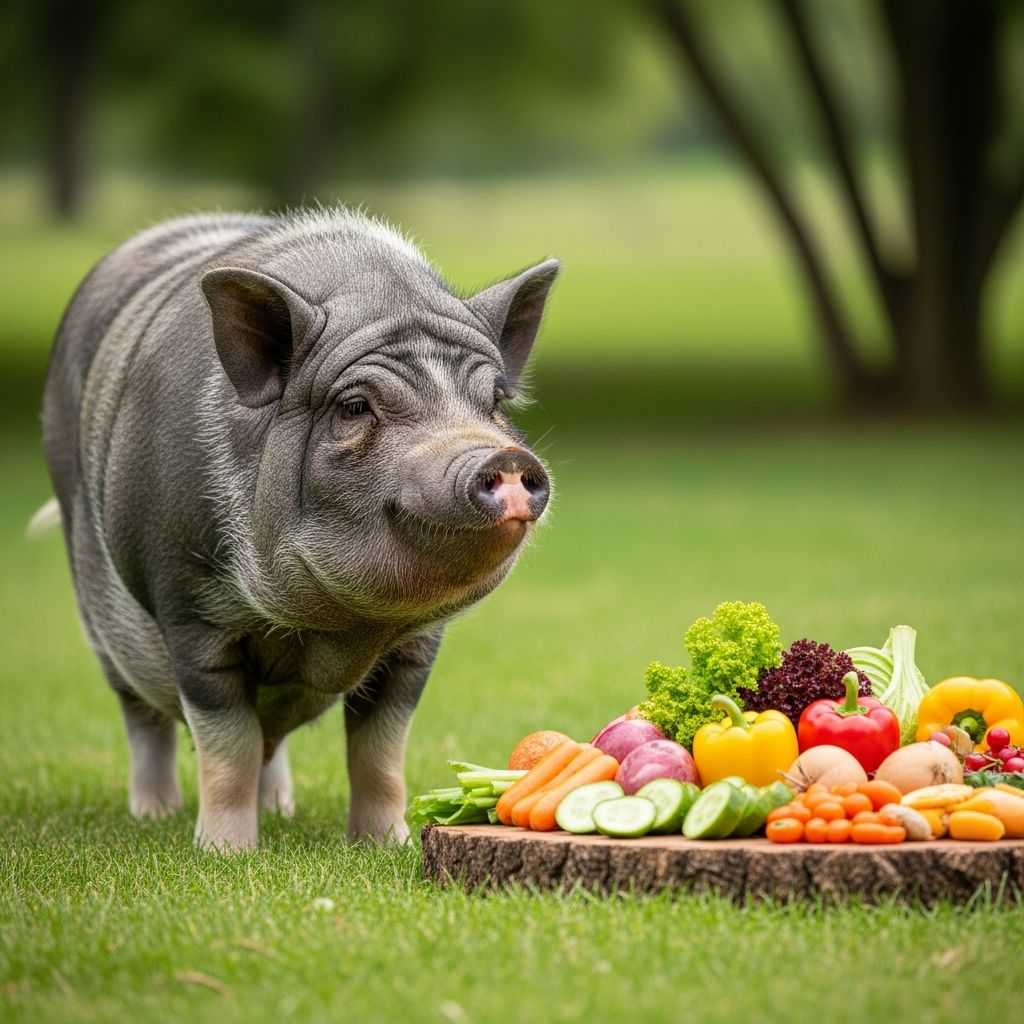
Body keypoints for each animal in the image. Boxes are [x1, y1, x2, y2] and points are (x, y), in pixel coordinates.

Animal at [39, 208, 558, 851]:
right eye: (356, 407)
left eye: (492, 404)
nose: (505, 457)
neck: (336, 628)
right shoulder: (190, 610)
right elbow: (227, 745)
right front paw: (226, 855)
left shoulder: (417, 645)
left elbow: (380, 751)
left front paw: (386, 845)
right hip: (104, 629)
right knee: (146, 718)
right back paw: (154, 815)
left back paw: (280, 809)